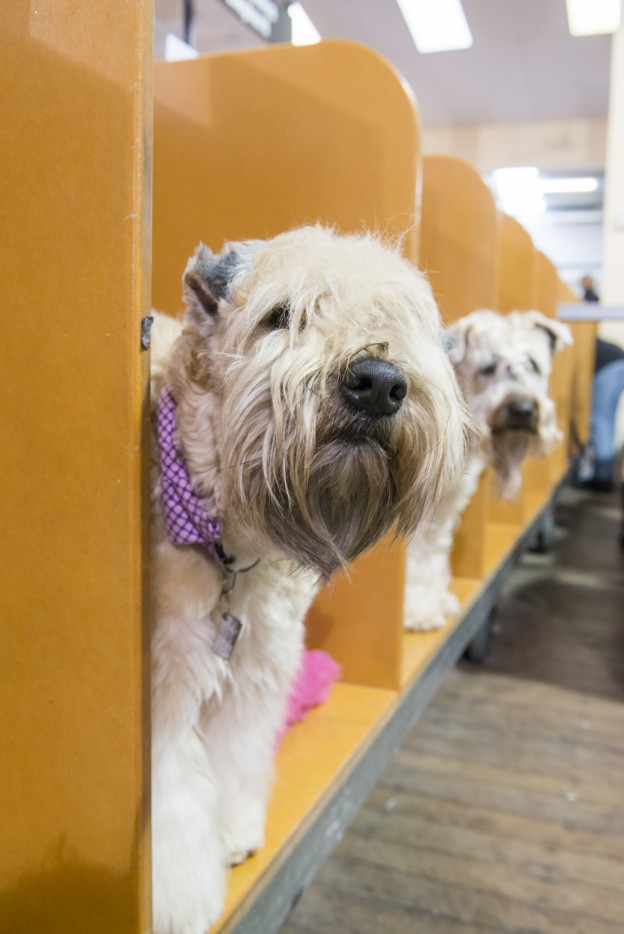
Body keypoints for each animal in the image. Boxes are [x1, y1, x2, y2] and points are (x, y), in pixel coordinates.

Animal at [147, 229, 468, 934]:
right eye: (280, 315)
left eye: (395, 317)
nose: (378, 383)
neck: (231, 541)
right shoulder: (166, 679)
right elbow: (171, 796)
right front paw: (177, 901)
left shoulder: (256, 665)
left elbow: (234, 756)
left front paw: (232, 831)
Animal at [402, 310, 572, 632]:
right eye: (488, 366)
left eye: (533, 364)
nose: (522, 409)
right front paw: (416, 610)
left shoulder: (442, 509)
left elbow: (429, 553)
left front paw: (430, 599)